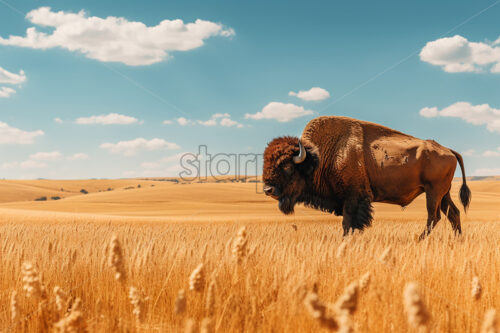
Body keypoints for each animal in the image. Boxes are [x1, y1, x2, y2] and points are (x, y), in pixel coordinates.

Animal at [264, 115, 470, 237]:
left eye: (287, 167)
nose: (268, 189)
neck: (320, 157)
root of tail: (448, 150)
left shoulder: (353, 198)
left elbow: (348, 223)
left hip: (433, 192)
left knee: (433, 216)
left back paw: (418, 241)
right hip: (443, 194)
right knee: (453, 213)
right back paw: (457, 241)